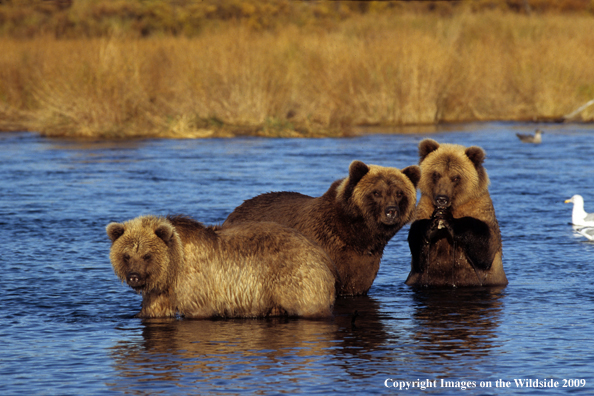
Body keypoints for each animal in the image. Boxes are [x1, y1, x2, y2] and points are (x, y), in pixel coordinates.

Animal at [106, 215, 336, 318]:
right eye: (126, 255)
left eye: (147, 255)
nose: (134, 276)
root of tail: (321, 252)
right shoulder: (159, 290)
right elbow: (152, 311)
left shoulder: (196, 281)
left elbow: (198, 310)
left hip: (297, 277)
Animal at [222, 159, 420, 296]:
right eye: (376, 192)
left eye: (399, 193)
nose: (391, 211)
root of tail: (235, 211)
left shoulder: (364, 262)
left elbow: (357, 284)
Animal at [404, 139, 506, 288]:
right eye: (436, 174)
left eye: (456, 177)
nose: (442, 198)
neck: (453, 206)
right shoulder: (425, 207)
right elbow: (418, 252)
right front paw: (432, 224)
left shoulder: (479, 209)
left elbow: (485, 247)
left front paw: (448, 220)